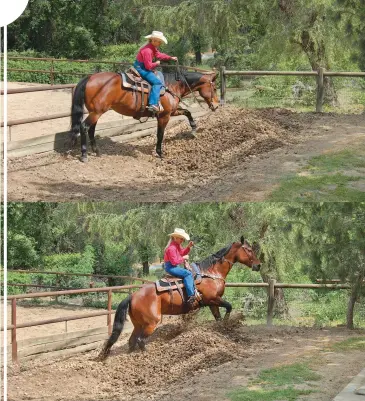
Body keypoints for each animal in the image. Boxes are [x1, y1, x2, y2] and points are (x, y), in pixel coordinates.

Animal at [68, 67, 218, 161]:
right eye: (215, 88)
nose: (216, 106)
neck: (171, 86)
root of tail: (89, 78)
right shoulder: (164, 116)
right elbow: (160, 134)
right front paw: (160, 153)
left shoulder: (172, 111)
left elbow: (188, 112)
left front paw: (193, 128)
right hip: (96, 112)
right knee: (84, 127)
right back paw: (84, 154)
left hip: (96, 112)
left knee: (91, 130)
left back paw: (97, 152)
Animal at [97, 234, 258, 360]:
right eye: (249, 250)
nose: (258, 265)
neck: (211, 273)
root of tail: (132, 296)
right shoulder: (212, 299)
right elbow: (229, 306)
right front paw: (227, 323)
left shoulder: (213, 303)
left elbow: (218, 317)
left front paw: (222, 329)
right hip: (151, 323)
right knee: (141, 341)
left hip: (138, 324)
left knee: (132, 341)